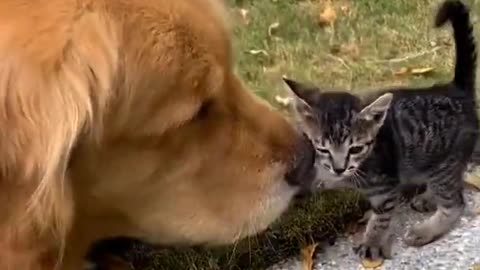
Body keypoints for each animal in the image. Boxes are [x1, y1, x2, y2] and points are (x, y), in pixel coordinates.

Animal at [284, 0, 478, 262]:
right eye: (323, 148)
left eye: (355, 148)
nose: (339, 168)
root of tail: (455, 89)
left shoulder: (386, 188)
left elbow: (381, 219)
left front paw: (372, 241)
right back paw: (427, 197)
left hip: (444, 162)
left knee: (455, 202)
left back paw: (426, 229)